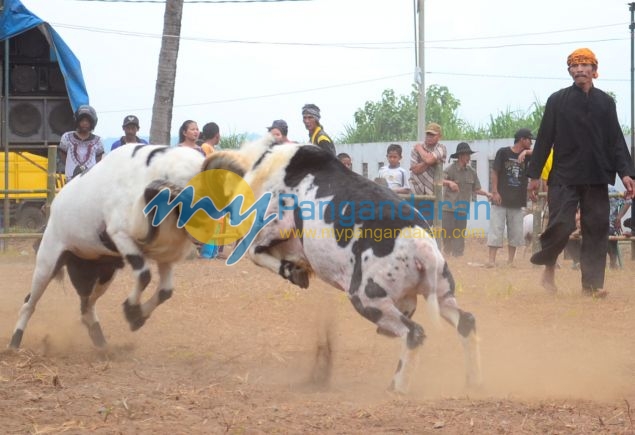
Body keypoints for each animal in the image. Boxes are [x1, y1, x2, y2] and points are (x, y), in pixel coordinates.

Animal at [8, 146, 206, 350]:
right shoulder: (121, 235)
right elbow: (144, 276)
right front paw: (132, 311)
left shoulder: (164, 253)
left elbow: (165, 291)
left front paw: (136, 316)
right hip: (47, 263)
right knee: (29, 303)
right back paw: (15, 342)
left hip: (102, 271)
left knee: (87, 306)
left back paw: (101, 343)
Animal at [205, 137, 482, 396]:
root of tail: (421, 246)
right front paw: (296, 271)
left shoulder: (275, 225)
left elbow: (254, 252)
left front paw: (294, 273)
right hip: (441, 291)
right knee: (465, 321)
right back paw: (471, 381)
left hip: (366, 297)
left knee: (414, 332)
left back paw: (398, 388)